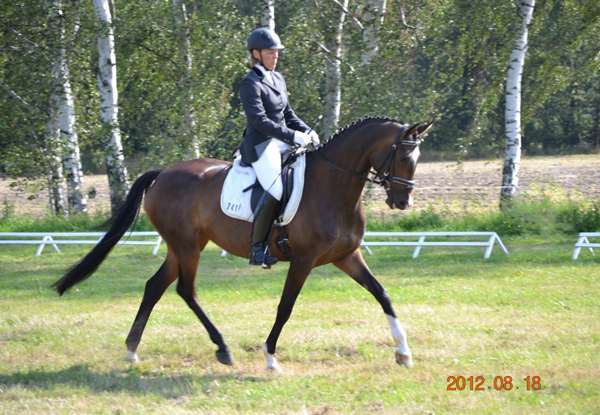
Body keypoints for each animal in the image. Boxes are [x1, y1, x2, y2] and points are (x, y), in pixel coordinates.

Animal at [52, 117, 432, 374]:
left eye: (416, 159)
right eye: (402, 158)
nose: (402, 202)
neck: (333, 187)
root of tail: (163, 173)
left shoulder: (347, 257)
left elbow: (382, 294)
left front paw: (403, 352)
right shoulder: (303, 260)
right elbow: (285, 307)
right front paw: (270, 357)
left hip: (183, 246)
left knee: (154, 287)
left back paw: (132, 350)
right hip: (187, 247)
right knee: (185, 290)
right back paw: (222, 348)